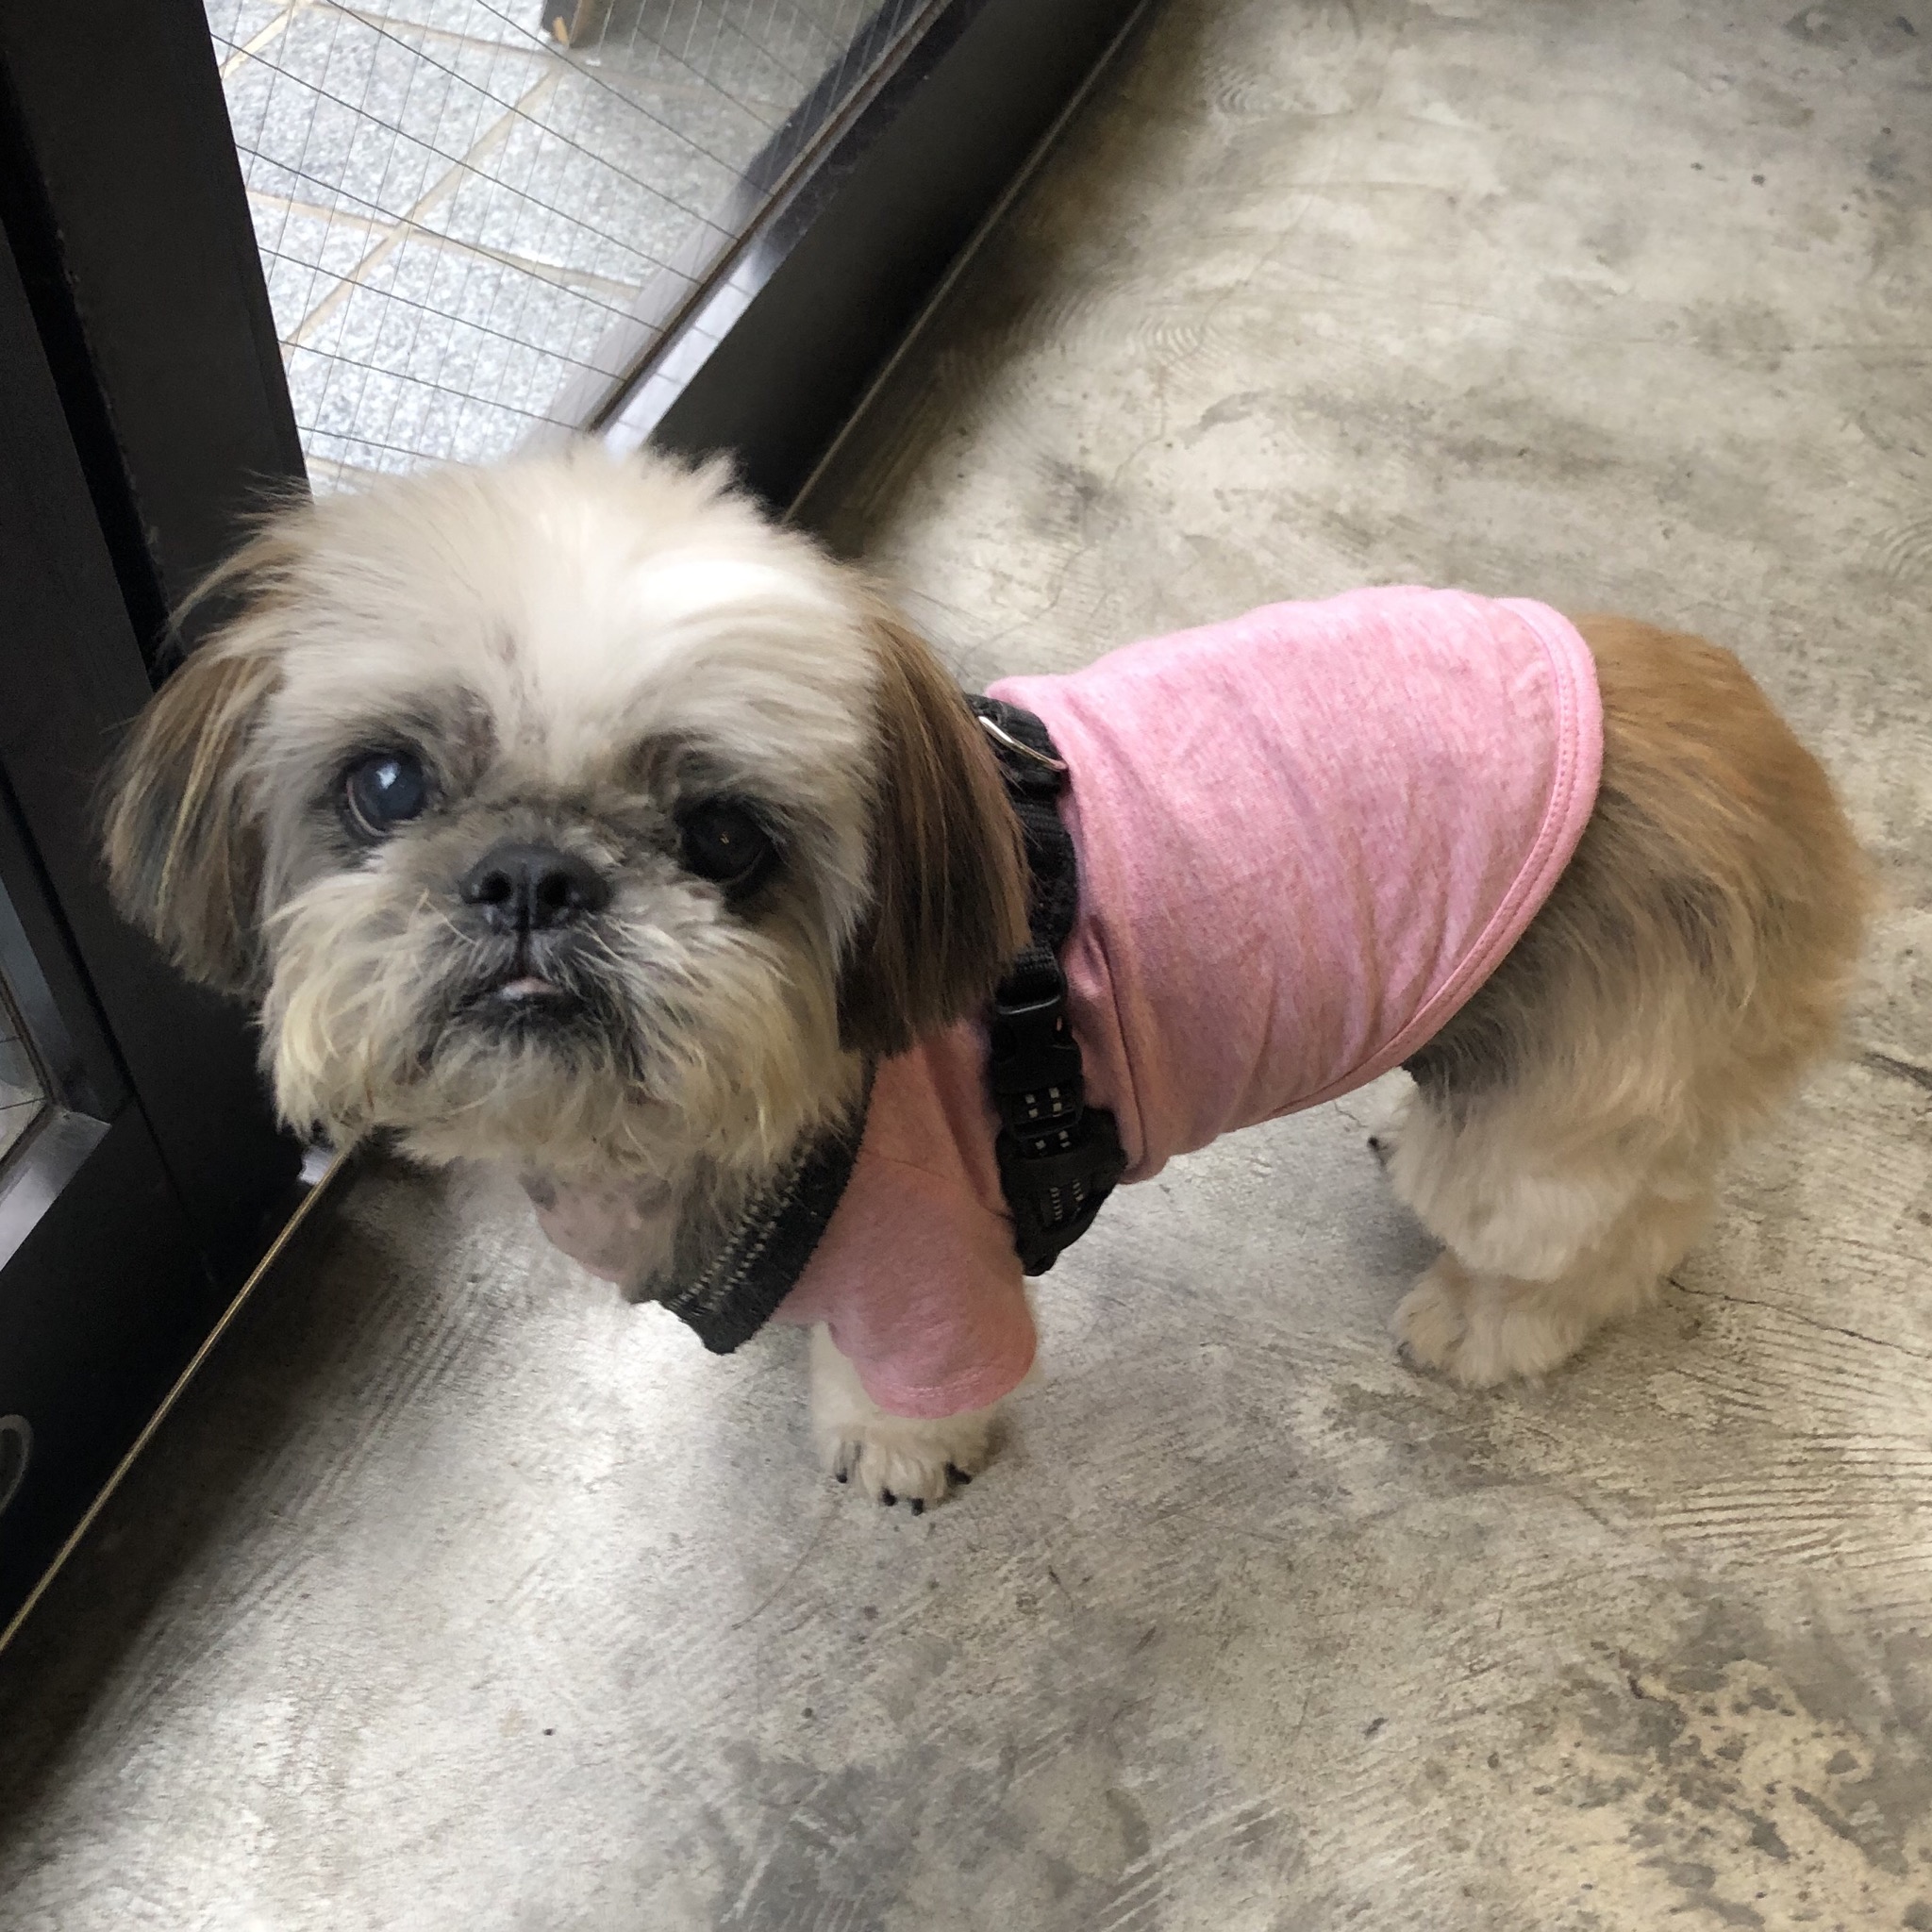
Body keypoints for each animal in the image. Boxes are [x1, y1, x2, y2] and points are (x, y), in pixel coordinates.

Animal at [102, 444, 1871, 1506]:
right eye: (388, 785)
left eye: (726, 836)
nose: (533, 877)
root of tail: (1771, 753)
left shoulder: (931, 1260)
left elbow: (910, 1390)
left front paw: (890, 1446)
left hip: (1548, 1122)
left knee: (1611, 1228)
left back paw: (1488, 1325)